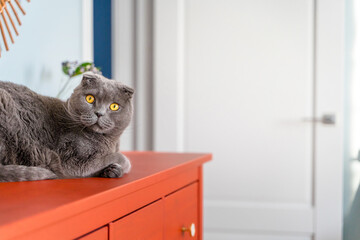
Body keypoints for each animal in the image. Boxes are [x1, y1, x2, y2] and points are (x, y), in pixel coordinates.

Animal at [0, 72, 134, 182]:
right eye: (90, 98)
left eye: (114, 106)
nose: (99, 113)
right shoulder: (72, 159)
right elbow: (116, 157)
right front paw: (123, 163)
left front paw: (114, 170)